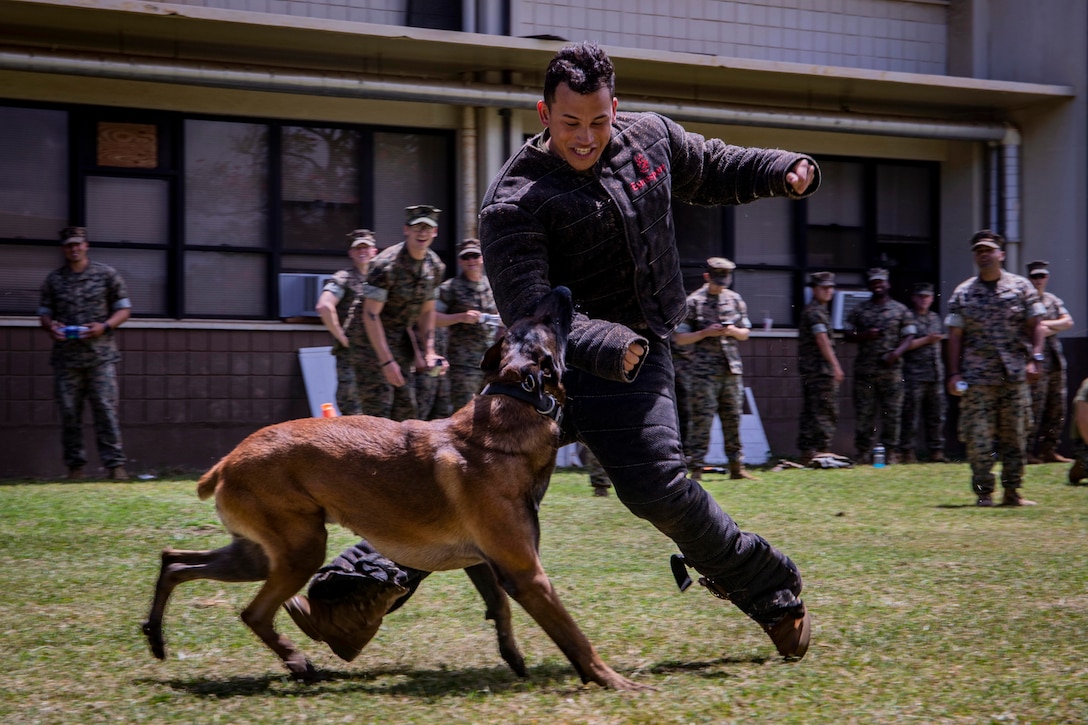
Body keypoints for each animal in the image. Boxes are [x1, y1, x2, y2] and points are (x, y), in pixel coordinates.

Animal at [140, 287, 639, 687]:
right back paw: (299, 663)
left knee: (175, 563)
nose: (562, 289)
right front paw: (612, 681)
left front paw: (513, 657)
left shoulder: (485, 563)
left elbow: (499, 607)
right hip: (301, 549)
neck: (513, 401)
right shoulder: (528, 574)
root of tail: (227, 461)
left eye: (533, 320)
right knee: (253, 611)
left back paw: (157, 637)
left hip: (259, 553)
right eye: (547, 322)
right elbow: (573, 635)